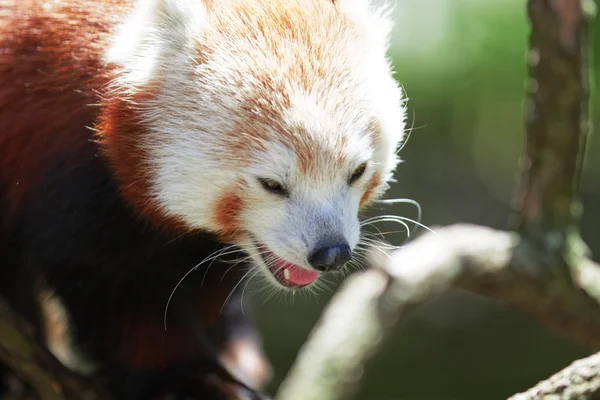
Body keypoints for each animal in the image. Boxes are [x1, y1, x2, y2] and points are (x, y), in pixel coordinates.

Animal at [0, 0, 406, 398]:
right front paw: (180, 379)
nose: (331, 253)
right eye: (272, 184)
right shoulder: (69, 164)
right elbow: (114, 286)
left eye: (357, 172)